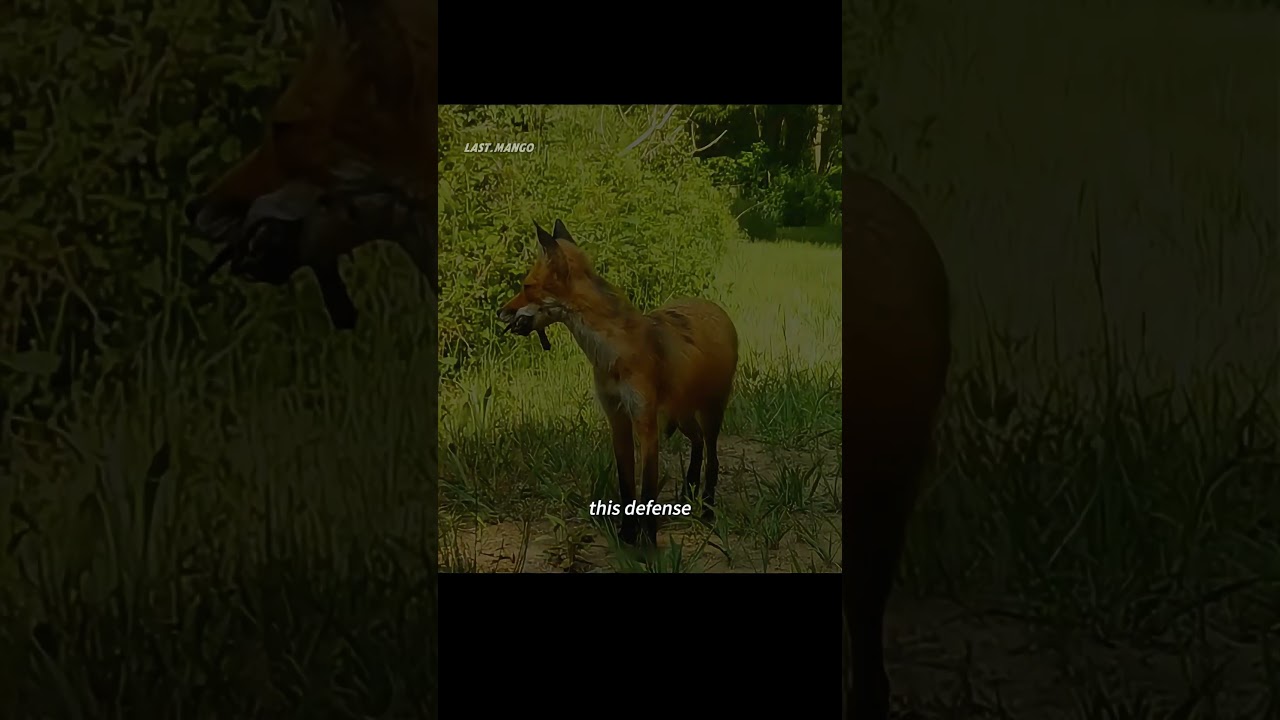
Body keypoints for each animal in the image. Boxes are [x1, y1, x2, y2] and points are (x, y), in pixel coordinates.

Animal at [497, 220, 740, 546]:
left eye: (526, 286)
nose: (500, 312)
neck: (610, 356)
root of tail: (714, 307)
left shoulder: (645, 420)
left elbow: (647, 491)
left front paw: (647, 543)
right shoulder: (617, 418)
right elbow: (626, 487)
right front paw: (626, 536)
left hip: (710, 413)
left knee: (712, 461)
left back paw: (708, 510)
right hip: (681, 415)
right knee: (698, 445)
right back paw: (688, 495)